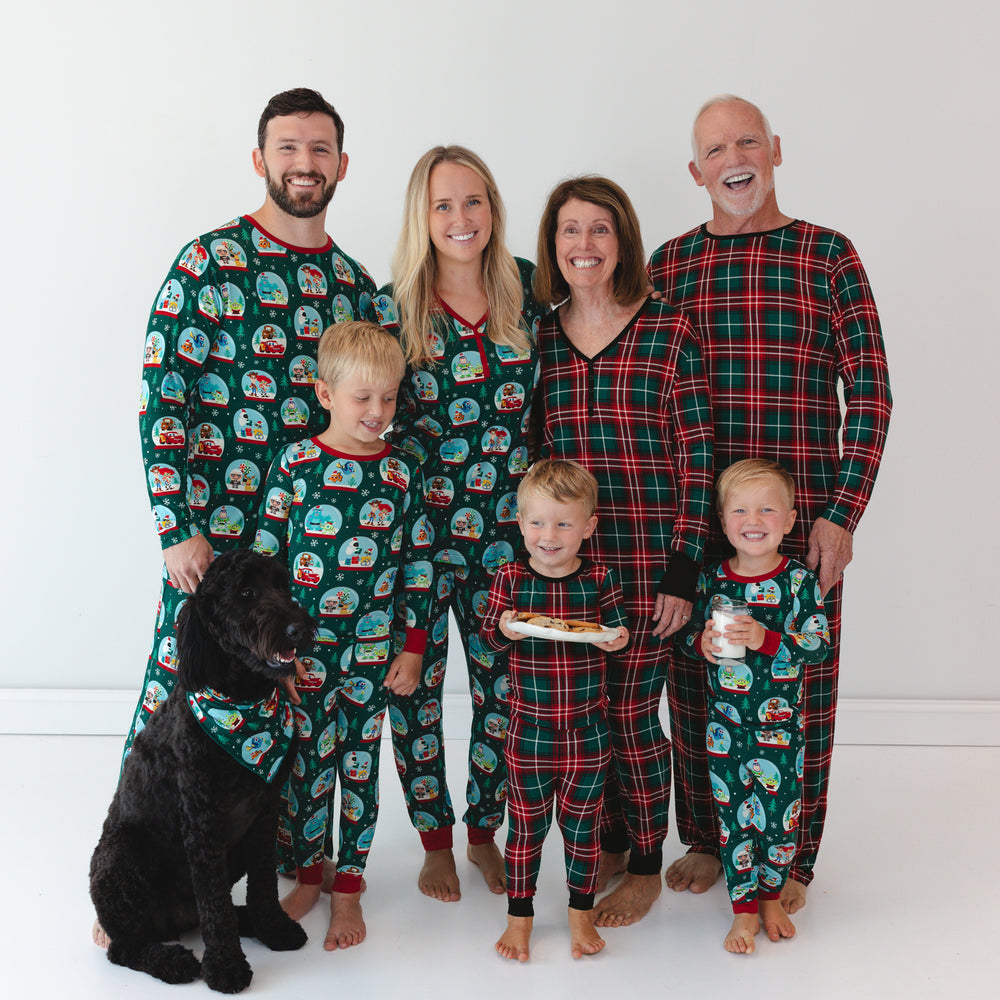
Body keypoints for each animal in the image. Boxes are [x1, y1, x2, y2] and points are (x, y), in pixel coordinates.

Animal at [93, 552, 316, 996]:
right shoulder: (202, 821)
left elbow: (264, 883)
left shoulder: (264, 813)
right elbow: (214, 903)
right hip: (119, 857)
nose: (298, 629)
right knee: (124, 948)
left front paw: (273, 927)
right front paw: (226, 967)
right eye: (245, 593)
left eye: (282, 585)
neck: (241, 701)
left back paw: (246, 920)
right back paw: (173, 961)